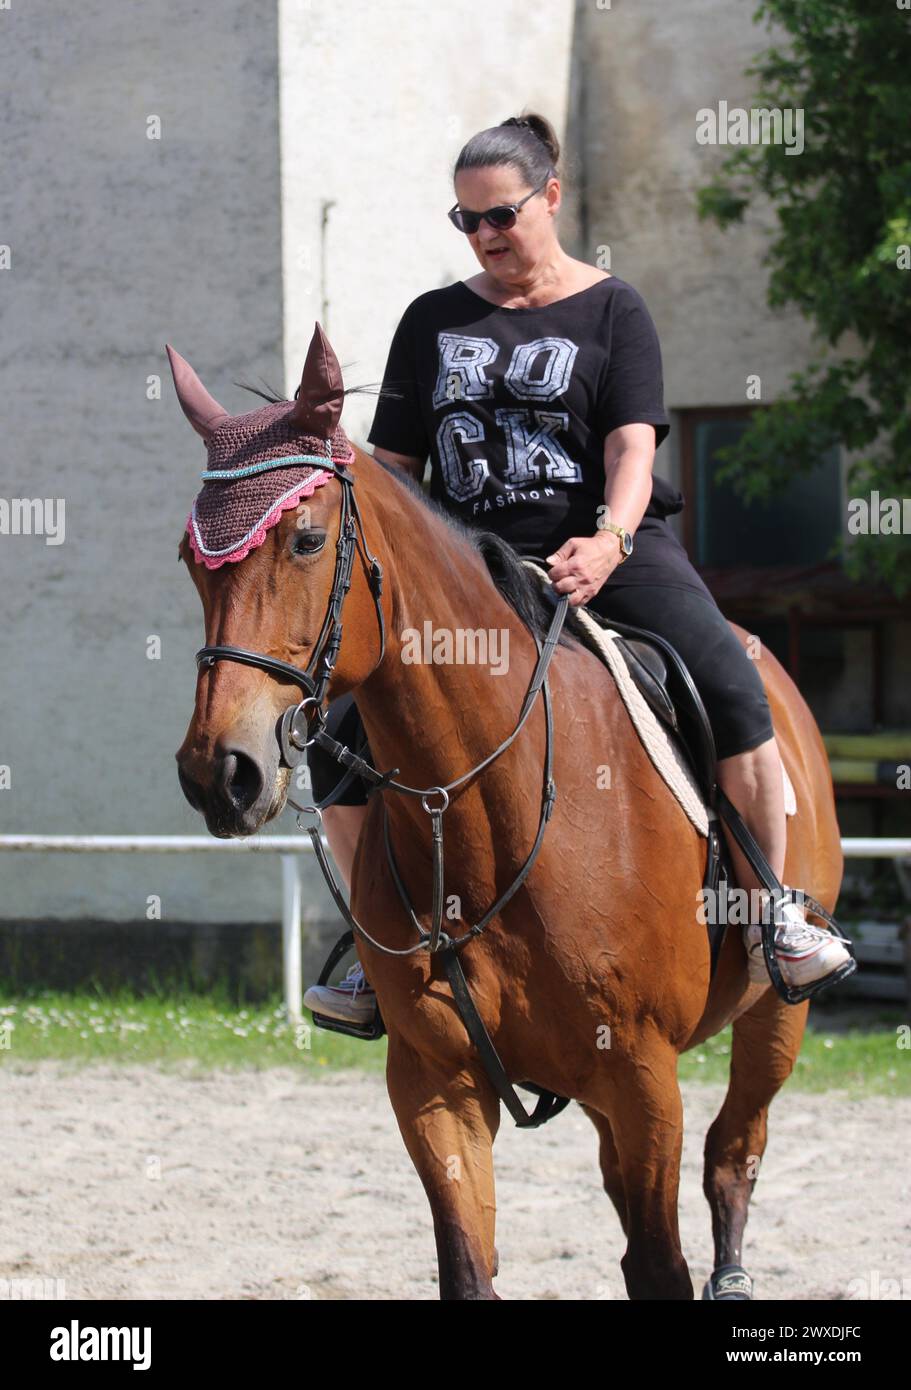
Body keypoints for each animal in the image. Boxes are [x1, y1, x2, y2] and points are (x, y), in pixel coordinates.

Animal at [174, 325, 845, 1301]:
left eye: (305, 540)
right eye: (191, 562)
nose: (218, 772)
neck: (487, 814)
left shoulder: (641, 1076)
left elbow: (659, 1263)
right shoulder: (434, 1079)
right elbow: (469, 1265)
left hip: (772, 1021)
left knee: (734, 1152)